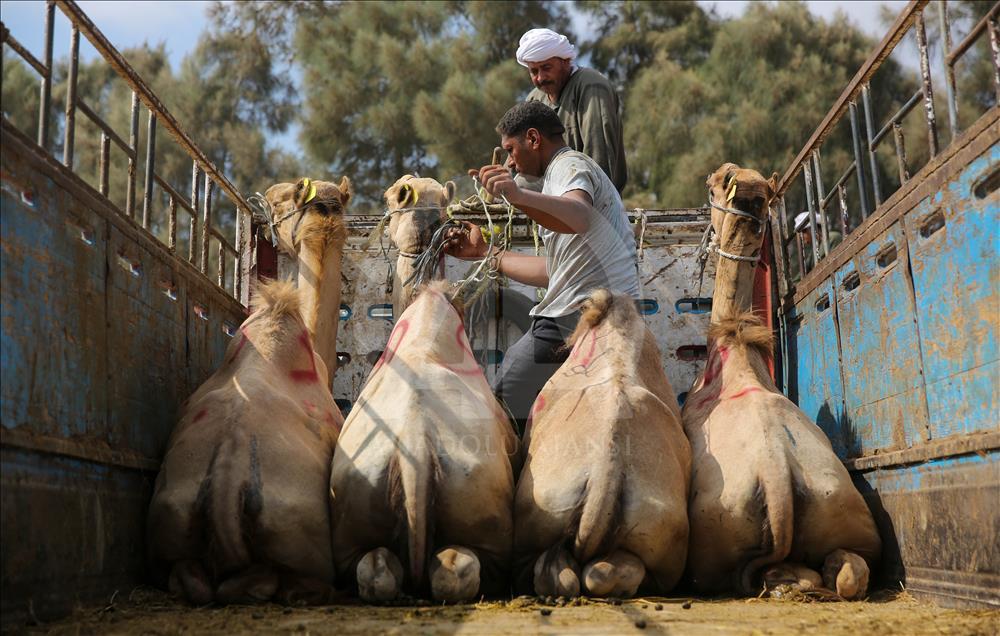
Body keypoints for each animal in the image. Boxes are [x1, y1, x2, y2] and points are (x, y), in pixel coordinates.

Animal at [680, 161, 884, 600]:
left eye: (711, 186)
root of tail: (777, 484)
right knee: (849, 571)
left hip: (710, 550)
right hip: (849, 514)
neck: (734, 344)